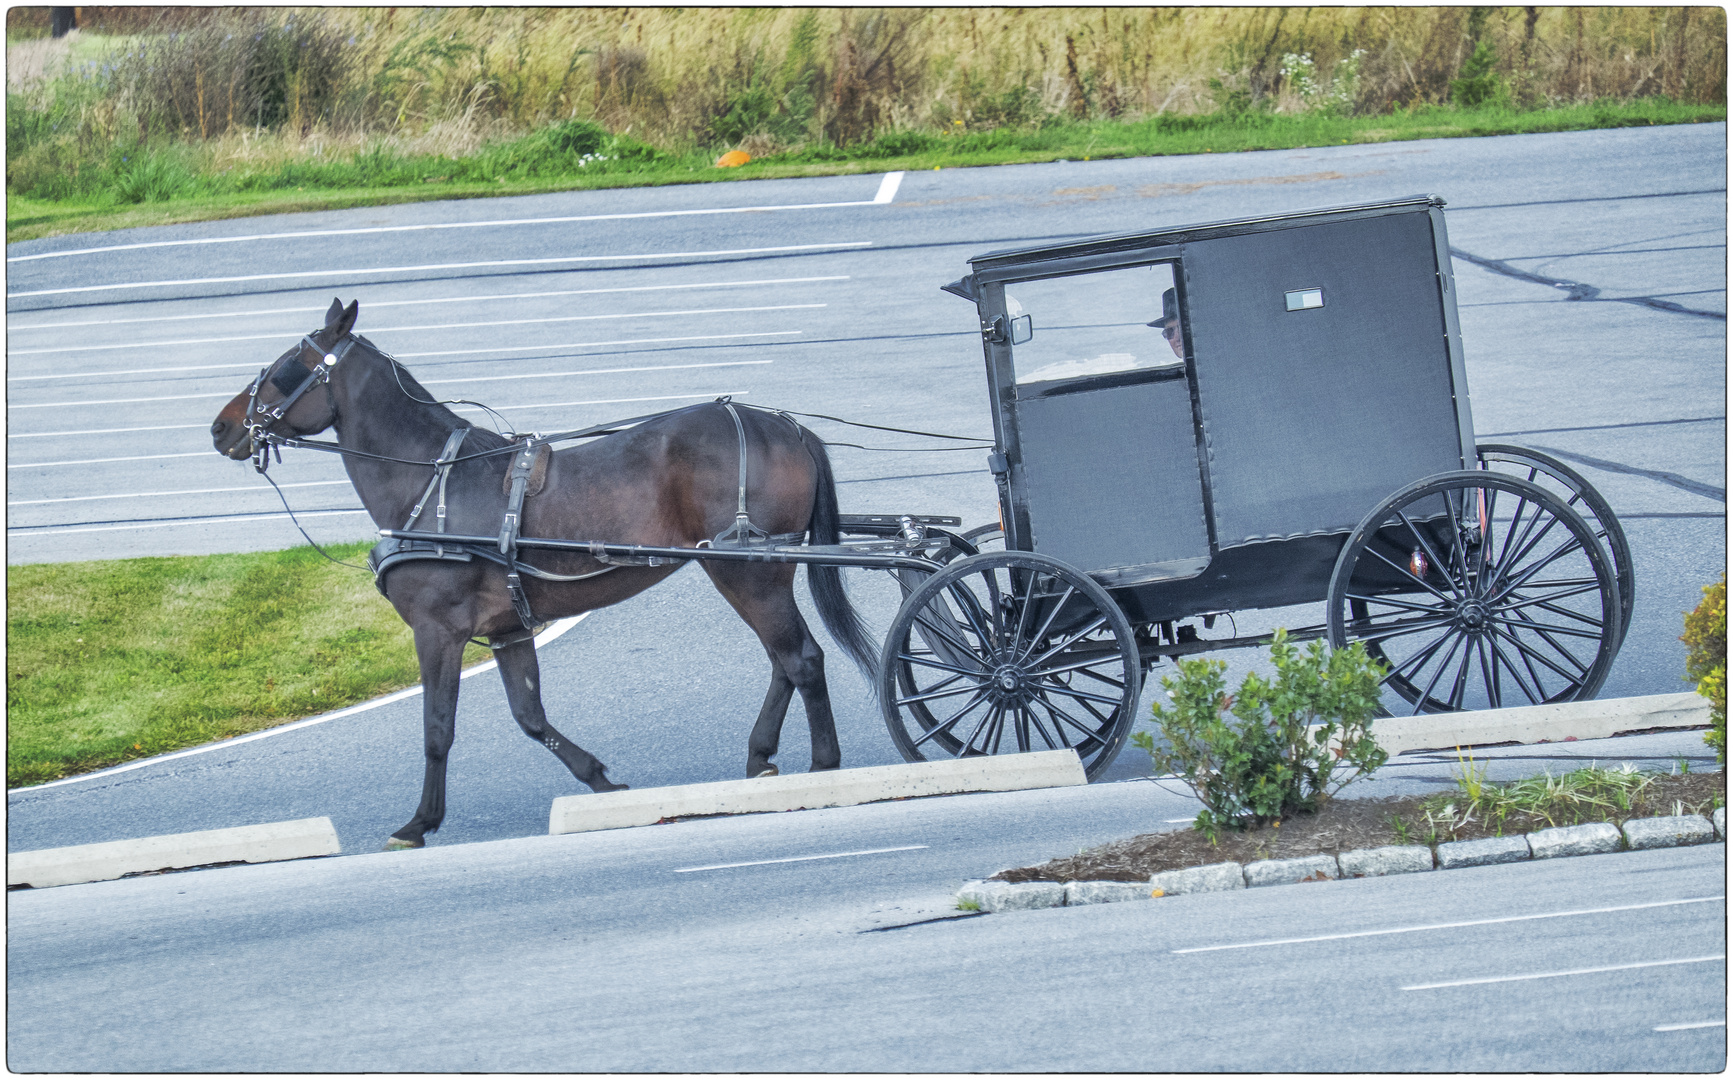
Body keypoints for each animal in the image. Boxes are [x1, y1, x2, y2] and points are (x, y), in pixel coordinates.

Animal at [207, 299, 873, 849]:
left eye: (283, 367)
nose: (221, 426)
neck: (434, 483)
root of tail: (786, 425)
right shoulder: (508, 629)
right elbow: (529, 716)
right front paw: (599, 779)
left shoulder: (437, 630)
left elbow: (437, 727)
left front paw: (419, 822)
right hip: (746, 571)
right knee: (783, 660)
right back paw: (762, 756)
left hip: (748, 573)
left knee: (801, 659)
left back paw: (823, 765)